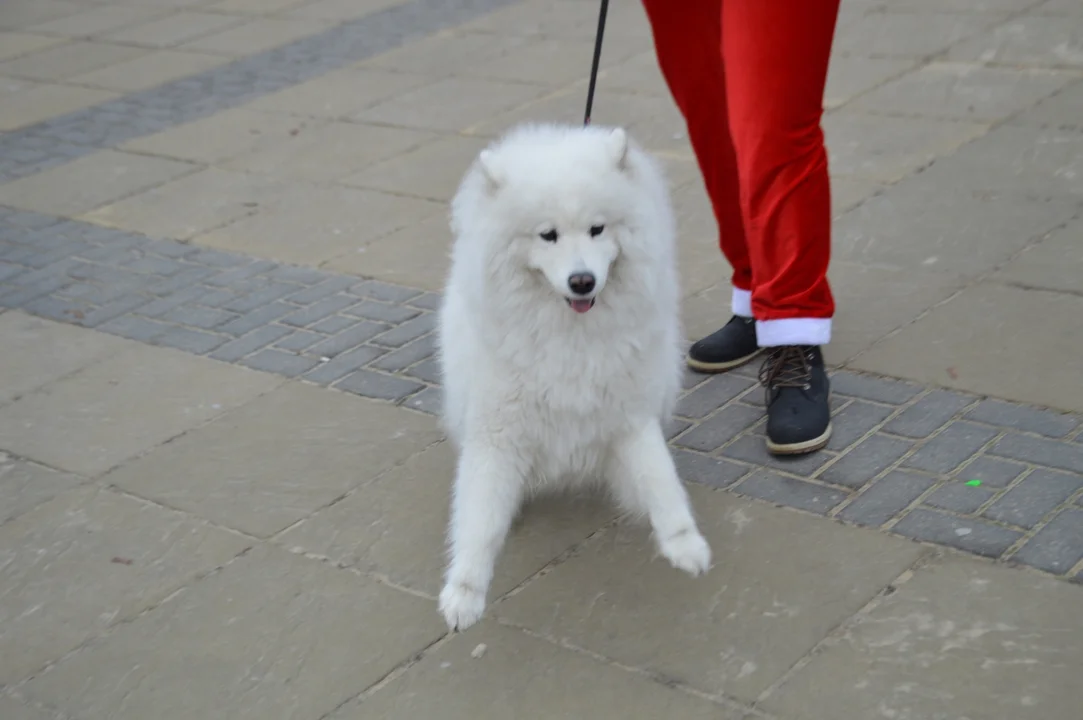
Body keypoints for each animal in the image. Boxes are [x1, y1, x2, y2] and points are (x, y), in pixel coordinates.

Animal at [435, 120, 714, 627]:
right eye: (548, 235)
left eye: (597, 229)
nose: (582, 281)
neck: (570, 334)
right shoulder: (496, 431)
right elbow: (479, 518)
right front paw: (464, 593)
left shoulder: (629, 415)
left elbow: (659, 478)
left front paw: (685, 545)